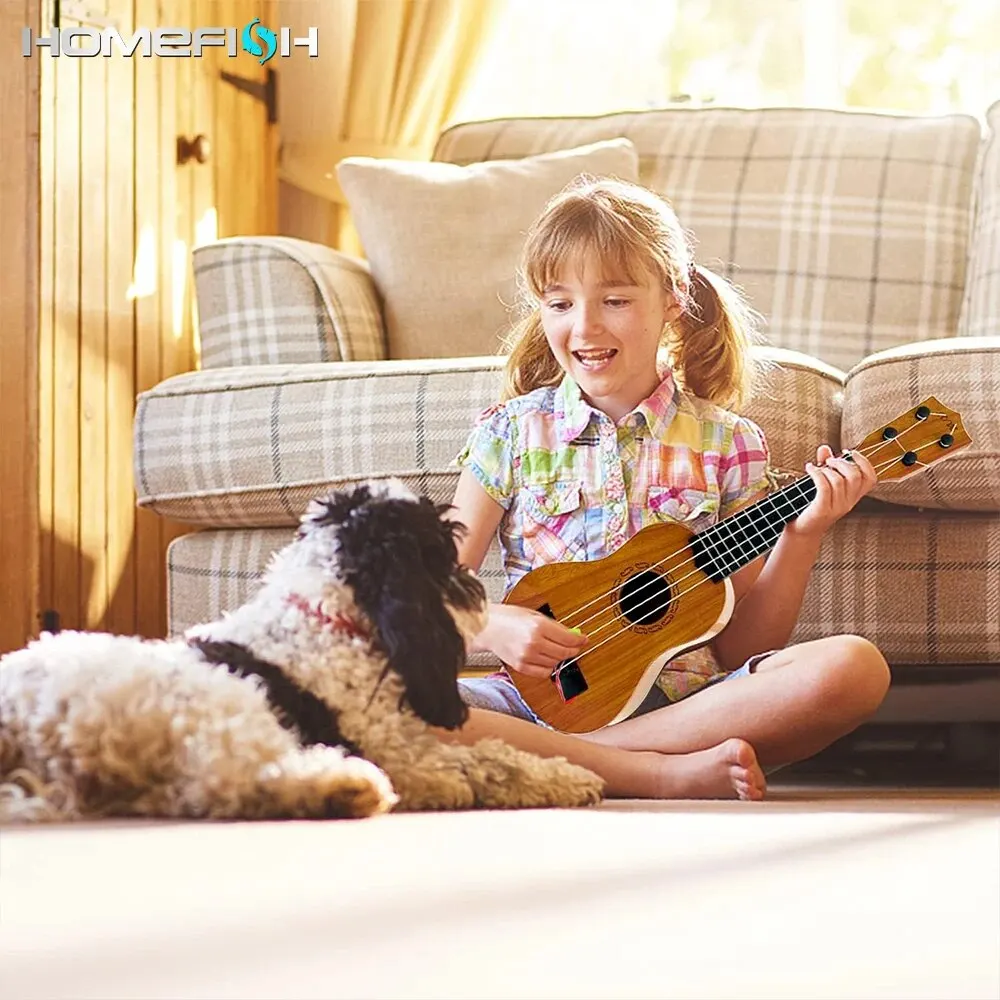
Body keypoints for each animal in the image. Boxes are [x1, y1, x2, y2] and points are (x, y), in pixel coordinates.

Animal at [0, 482, 600, 820]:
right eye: (443, 555)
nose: (477, 589)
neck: (325, 620)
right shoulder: (403, 752)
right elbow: (492, 759)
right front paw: (570, 778)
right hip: (221, 708)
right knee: (235, 779)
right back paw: (347, 786)